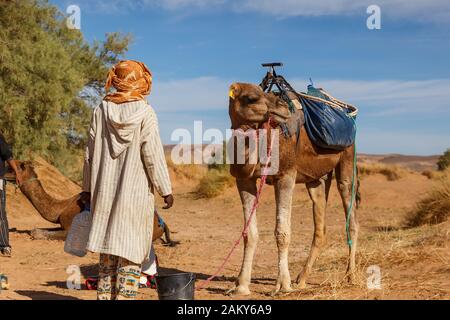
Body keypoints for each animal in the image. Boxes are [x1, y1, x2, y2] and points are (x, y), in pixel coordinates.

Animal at [227, 82, 360, 296]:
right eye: (251, 98)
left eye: (264, 91)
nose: (282, 107)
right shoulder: (243, 179)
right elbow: (249, 232)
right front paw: (241, 285)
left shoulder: (286, 175)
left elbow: (282, 232)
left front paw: (283, 285)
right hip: (316, 180)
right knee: (320, 226)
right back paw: (302, 279)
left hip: (348, 160)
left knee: (352, 218)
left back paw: (351, 276)